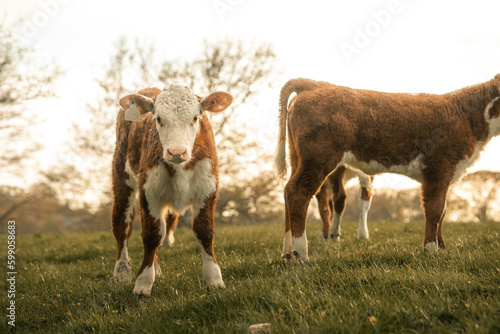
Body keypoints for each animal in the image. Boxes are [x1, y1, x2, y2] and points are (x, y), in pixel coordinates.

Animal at [111, 83, 232, 294]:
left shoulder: (207, 189)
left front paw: (214, 278)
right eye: (158, 118)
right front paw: (143, 283)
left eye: (195, 117)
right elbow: (151, 235)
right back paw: (122, 272)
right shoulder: (149, 192)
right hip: (122, 177)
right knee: (122, 225)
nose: (177, 152)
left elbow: (205, 232)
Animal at [276, 74, 500, 260]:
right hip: (318, 159)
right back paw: (301, 256)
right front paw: (430, 249)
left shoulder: (446, 174)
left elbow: (443, 211)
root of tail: (313, 84)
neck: (466, 116)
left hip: (298, 158)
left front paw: (442, 247)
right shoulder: (439, 169)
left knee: (288, 191)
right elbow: (435, 210)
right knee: (299, 193)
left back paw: (288, 253)